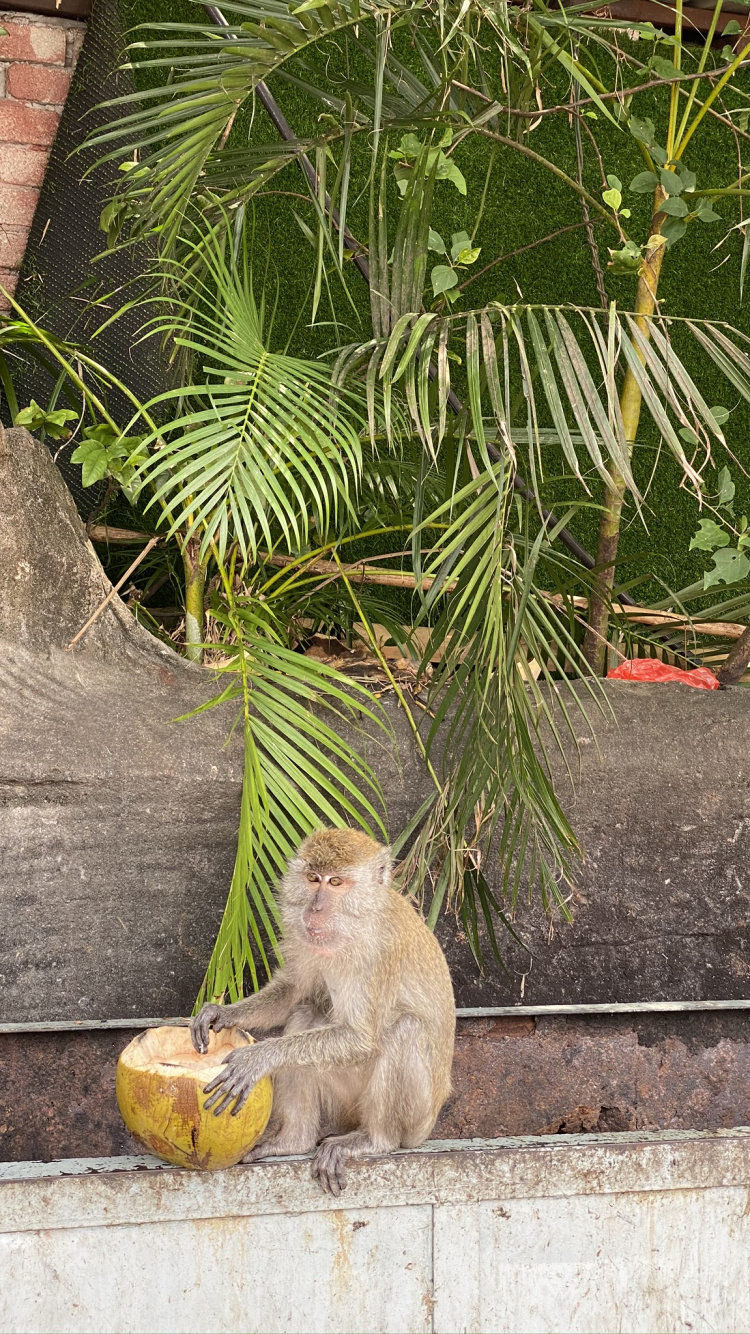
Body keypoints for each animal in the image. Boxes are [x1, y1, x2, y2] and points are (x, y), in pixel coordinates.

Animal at [190, 828, 455, 1195]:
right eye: (313, 878)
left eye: (336, 882)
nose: (314, 909)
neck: (356, 924)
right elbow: (293, 992)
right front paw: (221, 1013)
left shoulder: (379, 955)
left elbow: (361, 1038)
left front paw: (258, 1058)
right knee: (307, 1014)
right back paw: (293, 1141)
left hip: (418, 1117)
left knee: (404, 1029)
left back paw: (377, 1140)